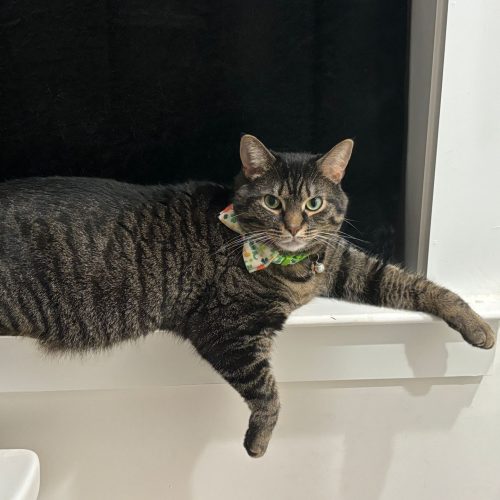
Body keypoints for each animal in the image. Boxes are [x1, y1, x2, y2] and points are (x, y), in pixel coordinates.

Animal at [0, 136, 494, 458]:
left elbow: (412, 283)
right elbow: (268, 392)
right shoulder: (227, 329)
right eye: (274, 202)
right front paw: (258, 443)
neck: (291, 266)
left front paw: (478, 327)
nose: (293, 227)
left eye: (313, 204)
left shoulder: (342, 264)